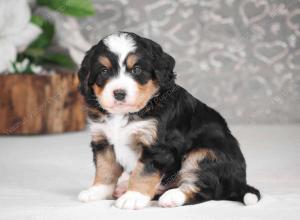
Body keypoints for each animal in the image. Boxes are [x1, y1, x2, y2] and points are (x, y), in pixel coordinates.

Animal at [77, 31, 260, 209]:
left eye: (136, 69)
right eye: (104, 71)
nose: (119, 93)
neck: (126, 113)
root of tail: (239, 182)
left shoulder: (158, 146)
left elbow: (143, 172)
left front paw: (133, 197)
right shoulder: (103, 141)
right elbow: (105, 170)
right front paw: (97, 191)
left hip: (206, 154)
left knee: (205, 189)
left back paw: (172, 197)